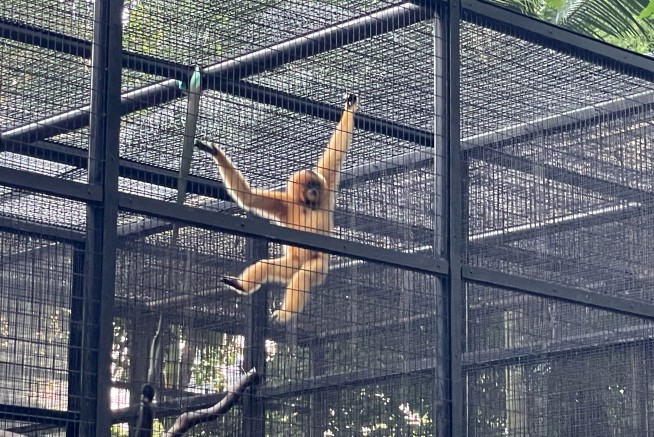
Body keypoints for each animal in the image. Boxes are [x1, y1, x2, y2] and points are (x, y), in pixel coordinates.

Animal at [195, 93, 358, 323]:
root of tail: (297, 263)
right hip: (289, 263)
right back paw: (241, 286)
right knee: (266, 265)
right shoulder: (285, 204)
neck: (305, 204)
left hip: (318, 264)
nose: (315, 190)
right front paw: (215, 152)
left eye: (316, 185)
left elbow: (334, 155)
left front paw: (350, 107)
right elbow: (249, 198)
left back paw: (285, 313)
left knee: (304, 276)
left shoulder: (326, 191)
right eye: (310, 185)